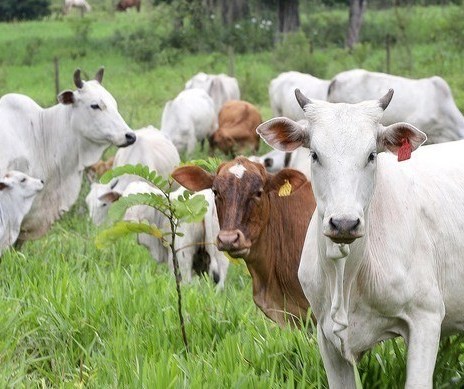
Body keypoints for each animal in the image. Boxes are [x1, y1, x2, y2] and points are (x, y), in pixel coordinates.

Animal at [260, 88, 464, 388]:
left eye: (371, 155)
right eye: (314, 155)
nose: (344, 223)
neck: (347, 276)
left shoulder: (426, 319)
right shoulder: (326, 334)